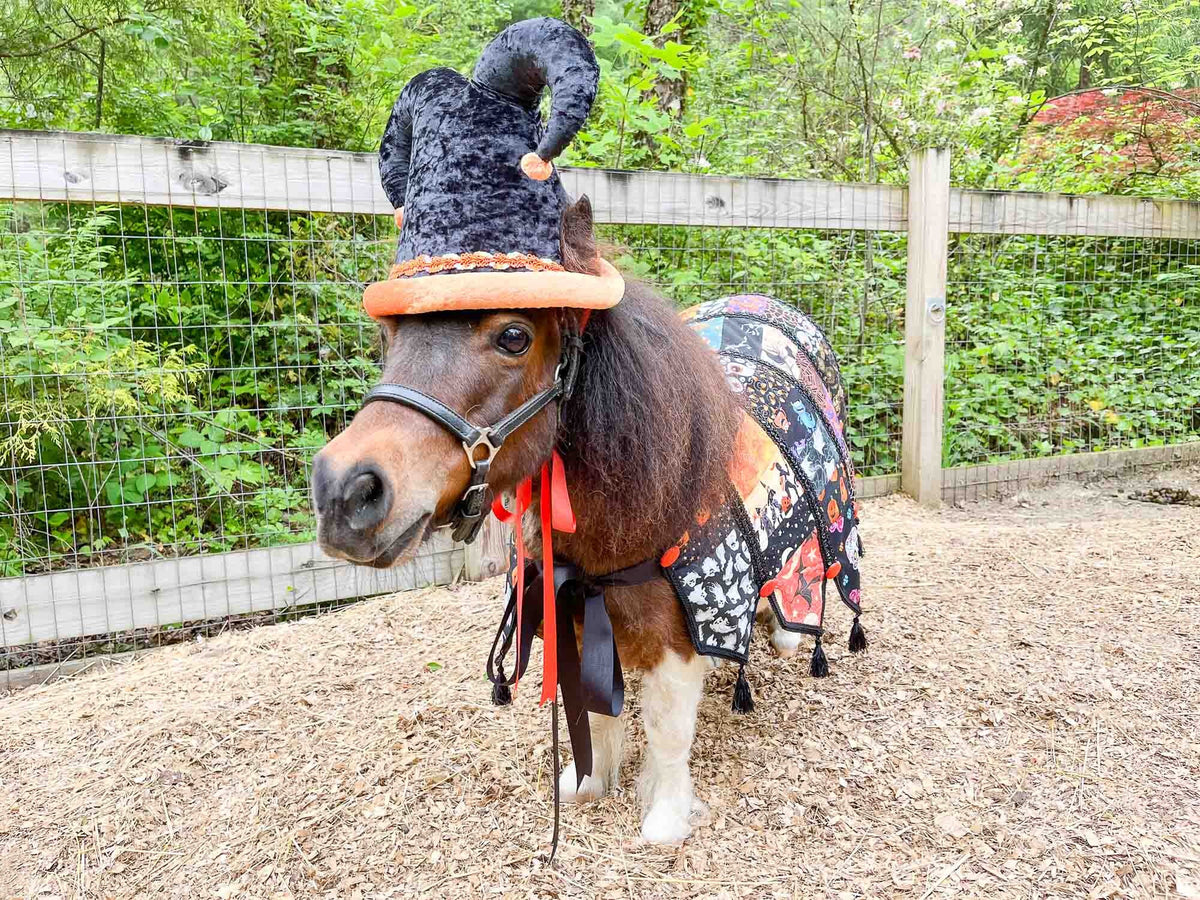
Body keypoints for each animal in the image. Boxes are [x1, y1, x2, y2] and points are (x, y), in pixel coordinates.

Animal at [311, 196, 855, 843]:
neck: (639, 515)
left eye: (514, 336)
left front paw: (665, 817)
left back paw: (788, 636)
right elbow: (593, 709)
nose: (343, 491)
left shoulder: (677, 640)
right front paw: (590, 782)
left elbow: (668, 732)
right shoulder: (573, 612)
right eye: (388, 333)